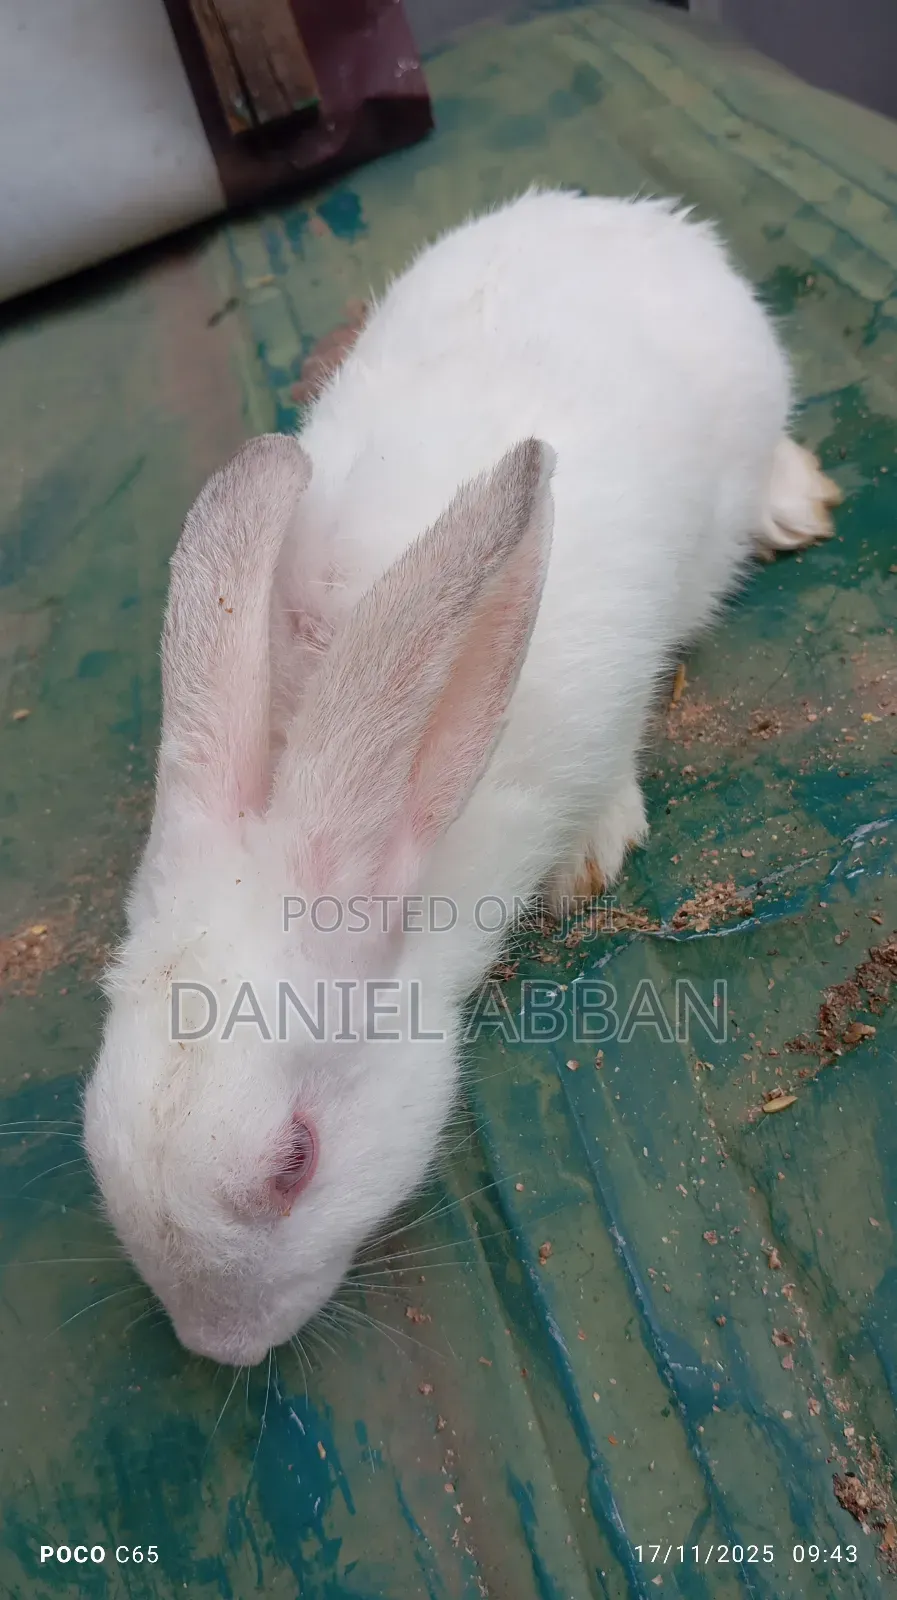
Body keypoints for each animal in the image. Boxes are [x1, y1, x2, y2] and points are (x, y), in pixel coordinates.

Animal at [83, 190, 840, 1367]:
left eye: (295, 1163)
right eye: (93, 1146)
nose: (221, 1348)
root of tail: (636, 216)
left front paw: (591, 851)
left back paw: (794, 501)